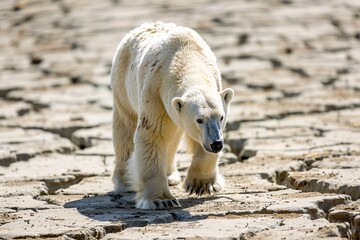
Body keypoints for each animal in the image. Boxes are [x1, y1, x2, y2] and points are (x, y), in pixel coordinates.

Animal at [110, 22, 233, 210]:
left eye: (220, 117)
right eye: (199, 119)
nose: (216, 144)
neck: (185, 57)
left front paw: (200, 185)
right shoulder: (154, 90)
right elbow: (153, 134)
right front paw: (161, 200)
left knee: (173, 136)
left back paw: (170, 175)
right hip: (122, 85)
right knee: (125, 130)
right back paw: (125, 182)